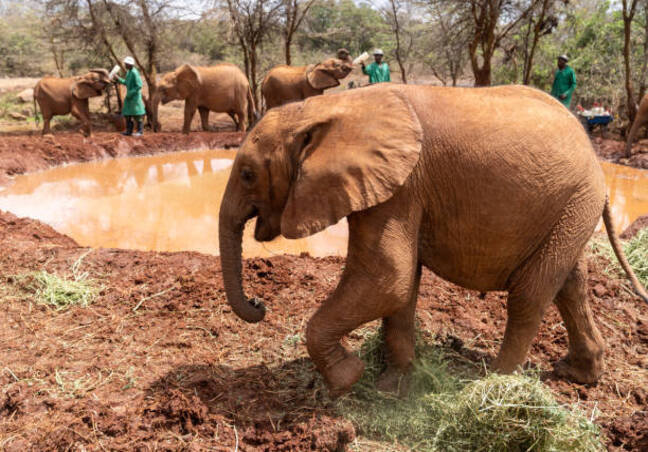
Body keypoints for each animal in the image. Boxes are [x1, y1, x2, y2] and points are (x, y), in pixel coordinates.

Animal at [218, 84, 648, 398]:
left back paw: (491, 382)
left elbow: (386, 278)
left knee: (530, 294)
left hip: (575, 200)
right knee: (571, 285)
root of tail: (596, 157)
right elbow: (400, 288)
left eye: (247, 174)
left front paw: (349, 379)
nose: (259, 304)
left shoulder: (401, 188)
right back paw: (578, 374)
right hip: (571, 208)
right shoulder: (397, 188)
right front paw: (396, 385)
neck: (330, 106)